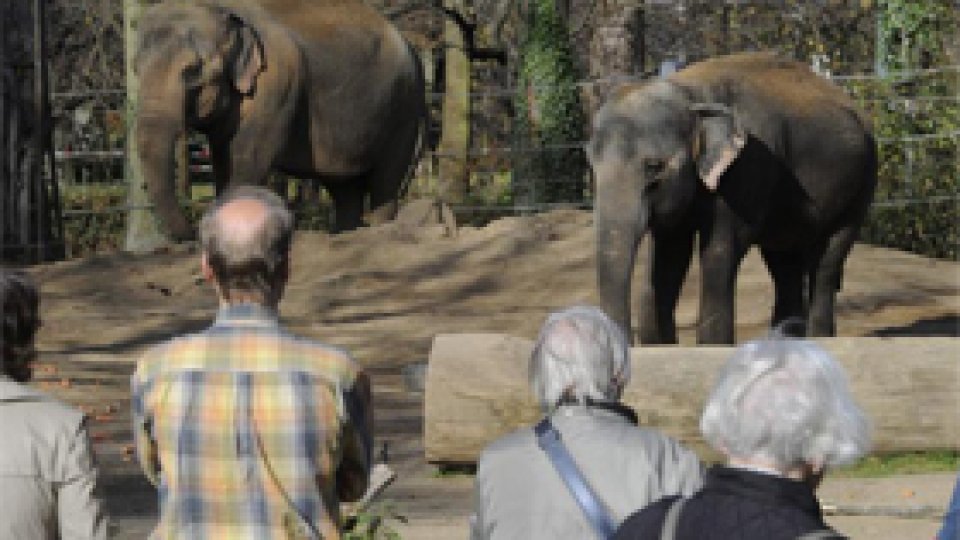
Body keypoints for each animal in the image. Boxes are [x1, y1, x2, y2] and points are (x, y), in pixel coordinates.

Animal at [134, 0, 424, 240]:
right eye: (135, 69)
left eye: (192, 71)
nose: (192, 231)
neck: (222, 7)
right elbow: (222, 160)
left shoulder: (276, 83)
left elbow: (248, 160)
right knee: (344, 188)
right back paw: (344, 234)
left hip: (404, 110)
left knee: (385, 181)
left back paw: (378, 228)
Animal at [584, 52, 876, 344]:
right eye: (591, 165)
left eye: (654, 168)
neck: (690, 94)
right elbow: (669, 255)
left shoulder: (746, 169)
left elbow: (718, 250)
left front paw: (712, 346)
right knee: (784, 264)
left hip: (861, 185)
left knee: (827, 259)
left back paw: (819, 339)